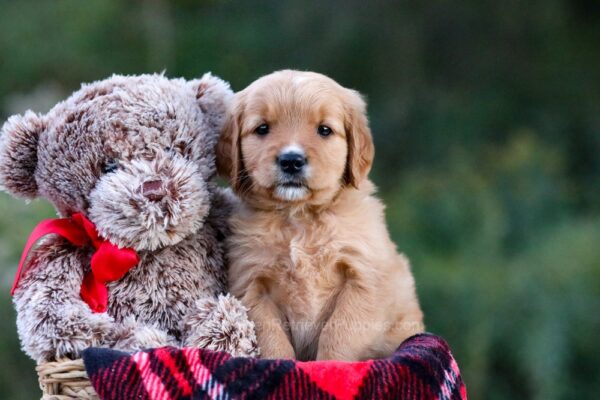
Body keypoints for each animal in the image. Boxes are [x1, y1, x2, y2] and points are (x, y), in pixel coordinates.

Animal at [216, 70, 422, 360]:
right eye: (262, 128)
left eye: (325, 130)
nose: (291, 161)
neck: (299, 217)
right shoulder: (252, 285)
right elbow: (271, 340)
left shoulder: (364, 277)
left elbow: (339, 333)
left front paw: (331, 366)